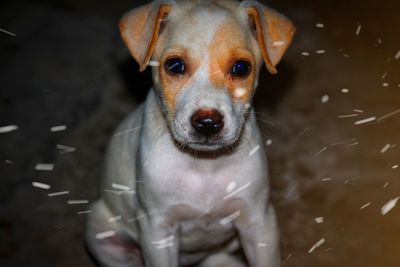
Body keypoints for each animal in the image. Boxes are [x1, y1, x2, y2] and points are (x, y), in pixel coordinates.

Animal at [86, 1, 294, 266]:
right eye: (175, 66)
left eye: (241, 68)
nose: (207, 123)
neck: (204, 166)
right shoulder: (158, 232)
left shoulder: (259, 222)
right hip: (99, 231)